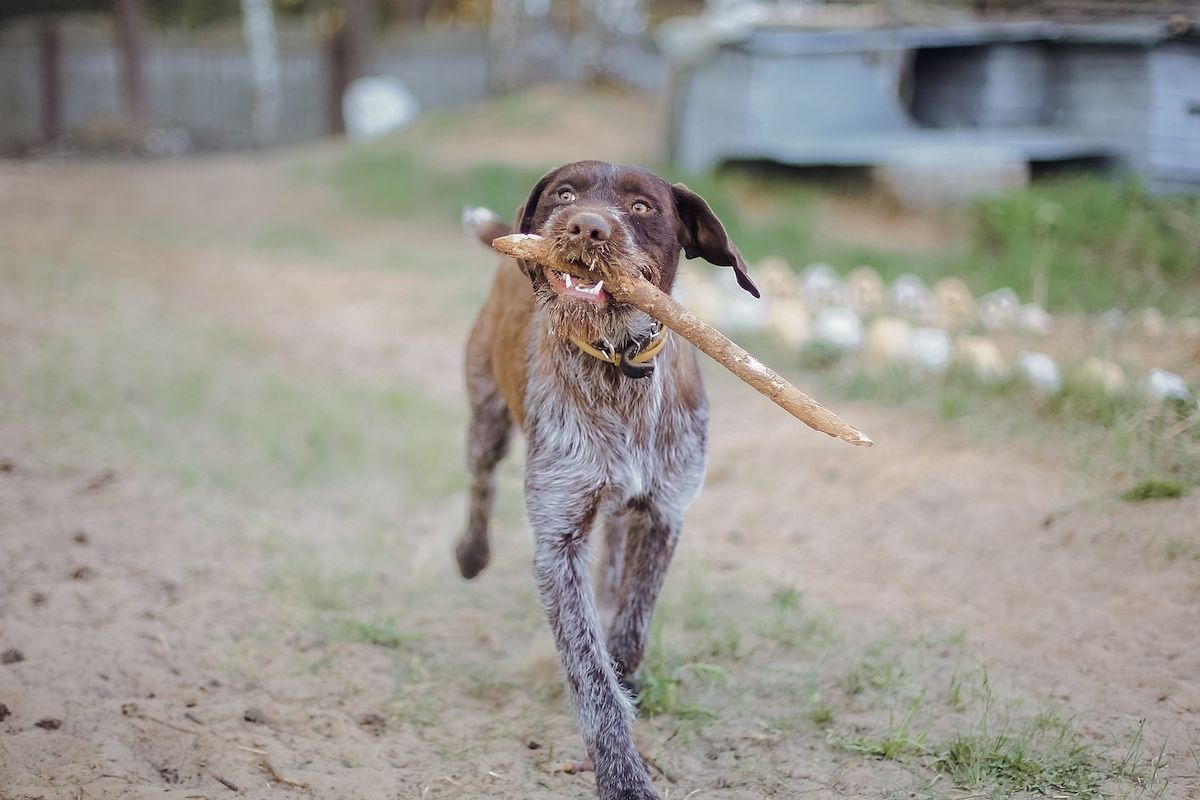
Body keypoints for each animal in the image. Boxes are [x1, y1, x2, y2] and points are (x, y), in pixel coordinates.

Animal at [453, 159, 753, 796]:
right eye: (564, 194)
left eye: (641, 207)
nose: (586, 227)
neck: (617, 366)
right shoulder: (558, 541)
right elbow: (591, 680)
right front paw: (622, 778)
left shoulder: (665, 512)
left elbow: (632, 628)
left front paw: (626, 666)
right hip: (486, 420)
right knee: (480, 484)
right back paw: (471, 553)